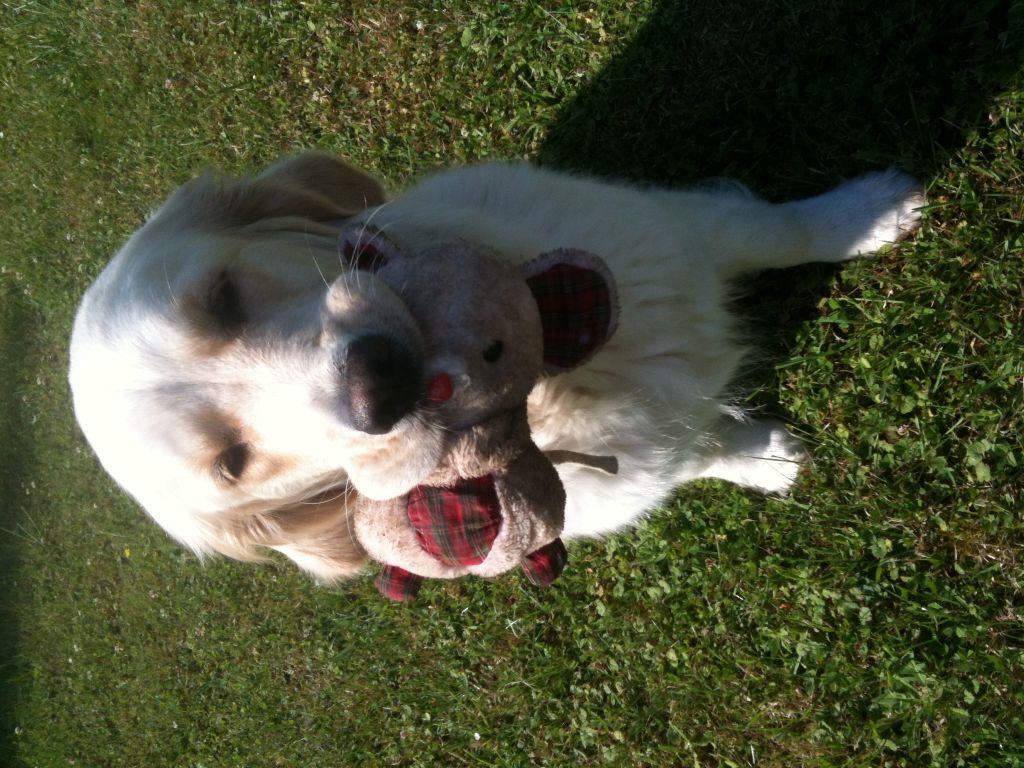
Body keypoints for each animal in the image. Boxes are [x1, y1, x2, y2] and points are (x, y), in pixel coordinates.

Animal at [68, 151, 925, 581]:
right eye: (234, 464)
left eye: (223, 298)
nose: (379, 382)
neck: (557, 383)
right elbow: (695, 452)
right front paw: (762, 461)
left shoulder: (672, 231)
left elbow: (782, 232)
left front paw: (866, 215)